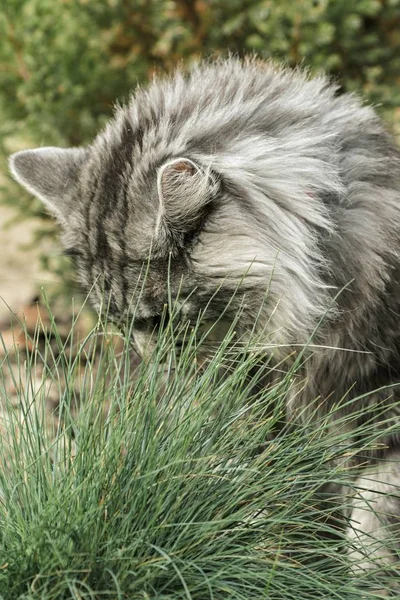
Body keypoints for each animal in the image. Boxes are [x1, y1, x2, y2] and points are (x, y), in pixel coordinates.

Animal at [7, 57, 400, 576]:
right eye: (119, 322)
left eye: (157, 320)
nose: (154, 363)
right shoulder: (256, 423)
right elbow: (280, 513)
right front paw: (273, 569)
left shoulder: (382, 410)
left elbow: (374, 525)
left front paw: (357, 580)